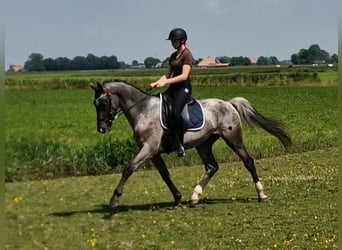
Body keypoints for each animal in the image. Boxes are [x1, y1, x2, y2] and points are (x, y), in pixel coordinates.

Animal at [89, 81, 290, 214]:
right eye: (95, 103)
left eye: (103, 102)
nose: (102, 128)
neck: (143, 111)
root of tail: (228, 104)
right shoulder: (153, 153)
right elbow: (165, 175)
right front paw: (178, 198)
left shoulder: (148, 149)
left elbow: (128, 169)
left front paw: (114, 201)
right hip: (203, 144)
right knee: (212, 167)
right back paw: (194, 197)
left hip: (233, 139)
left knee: (248, 161)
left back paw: (261, 194)